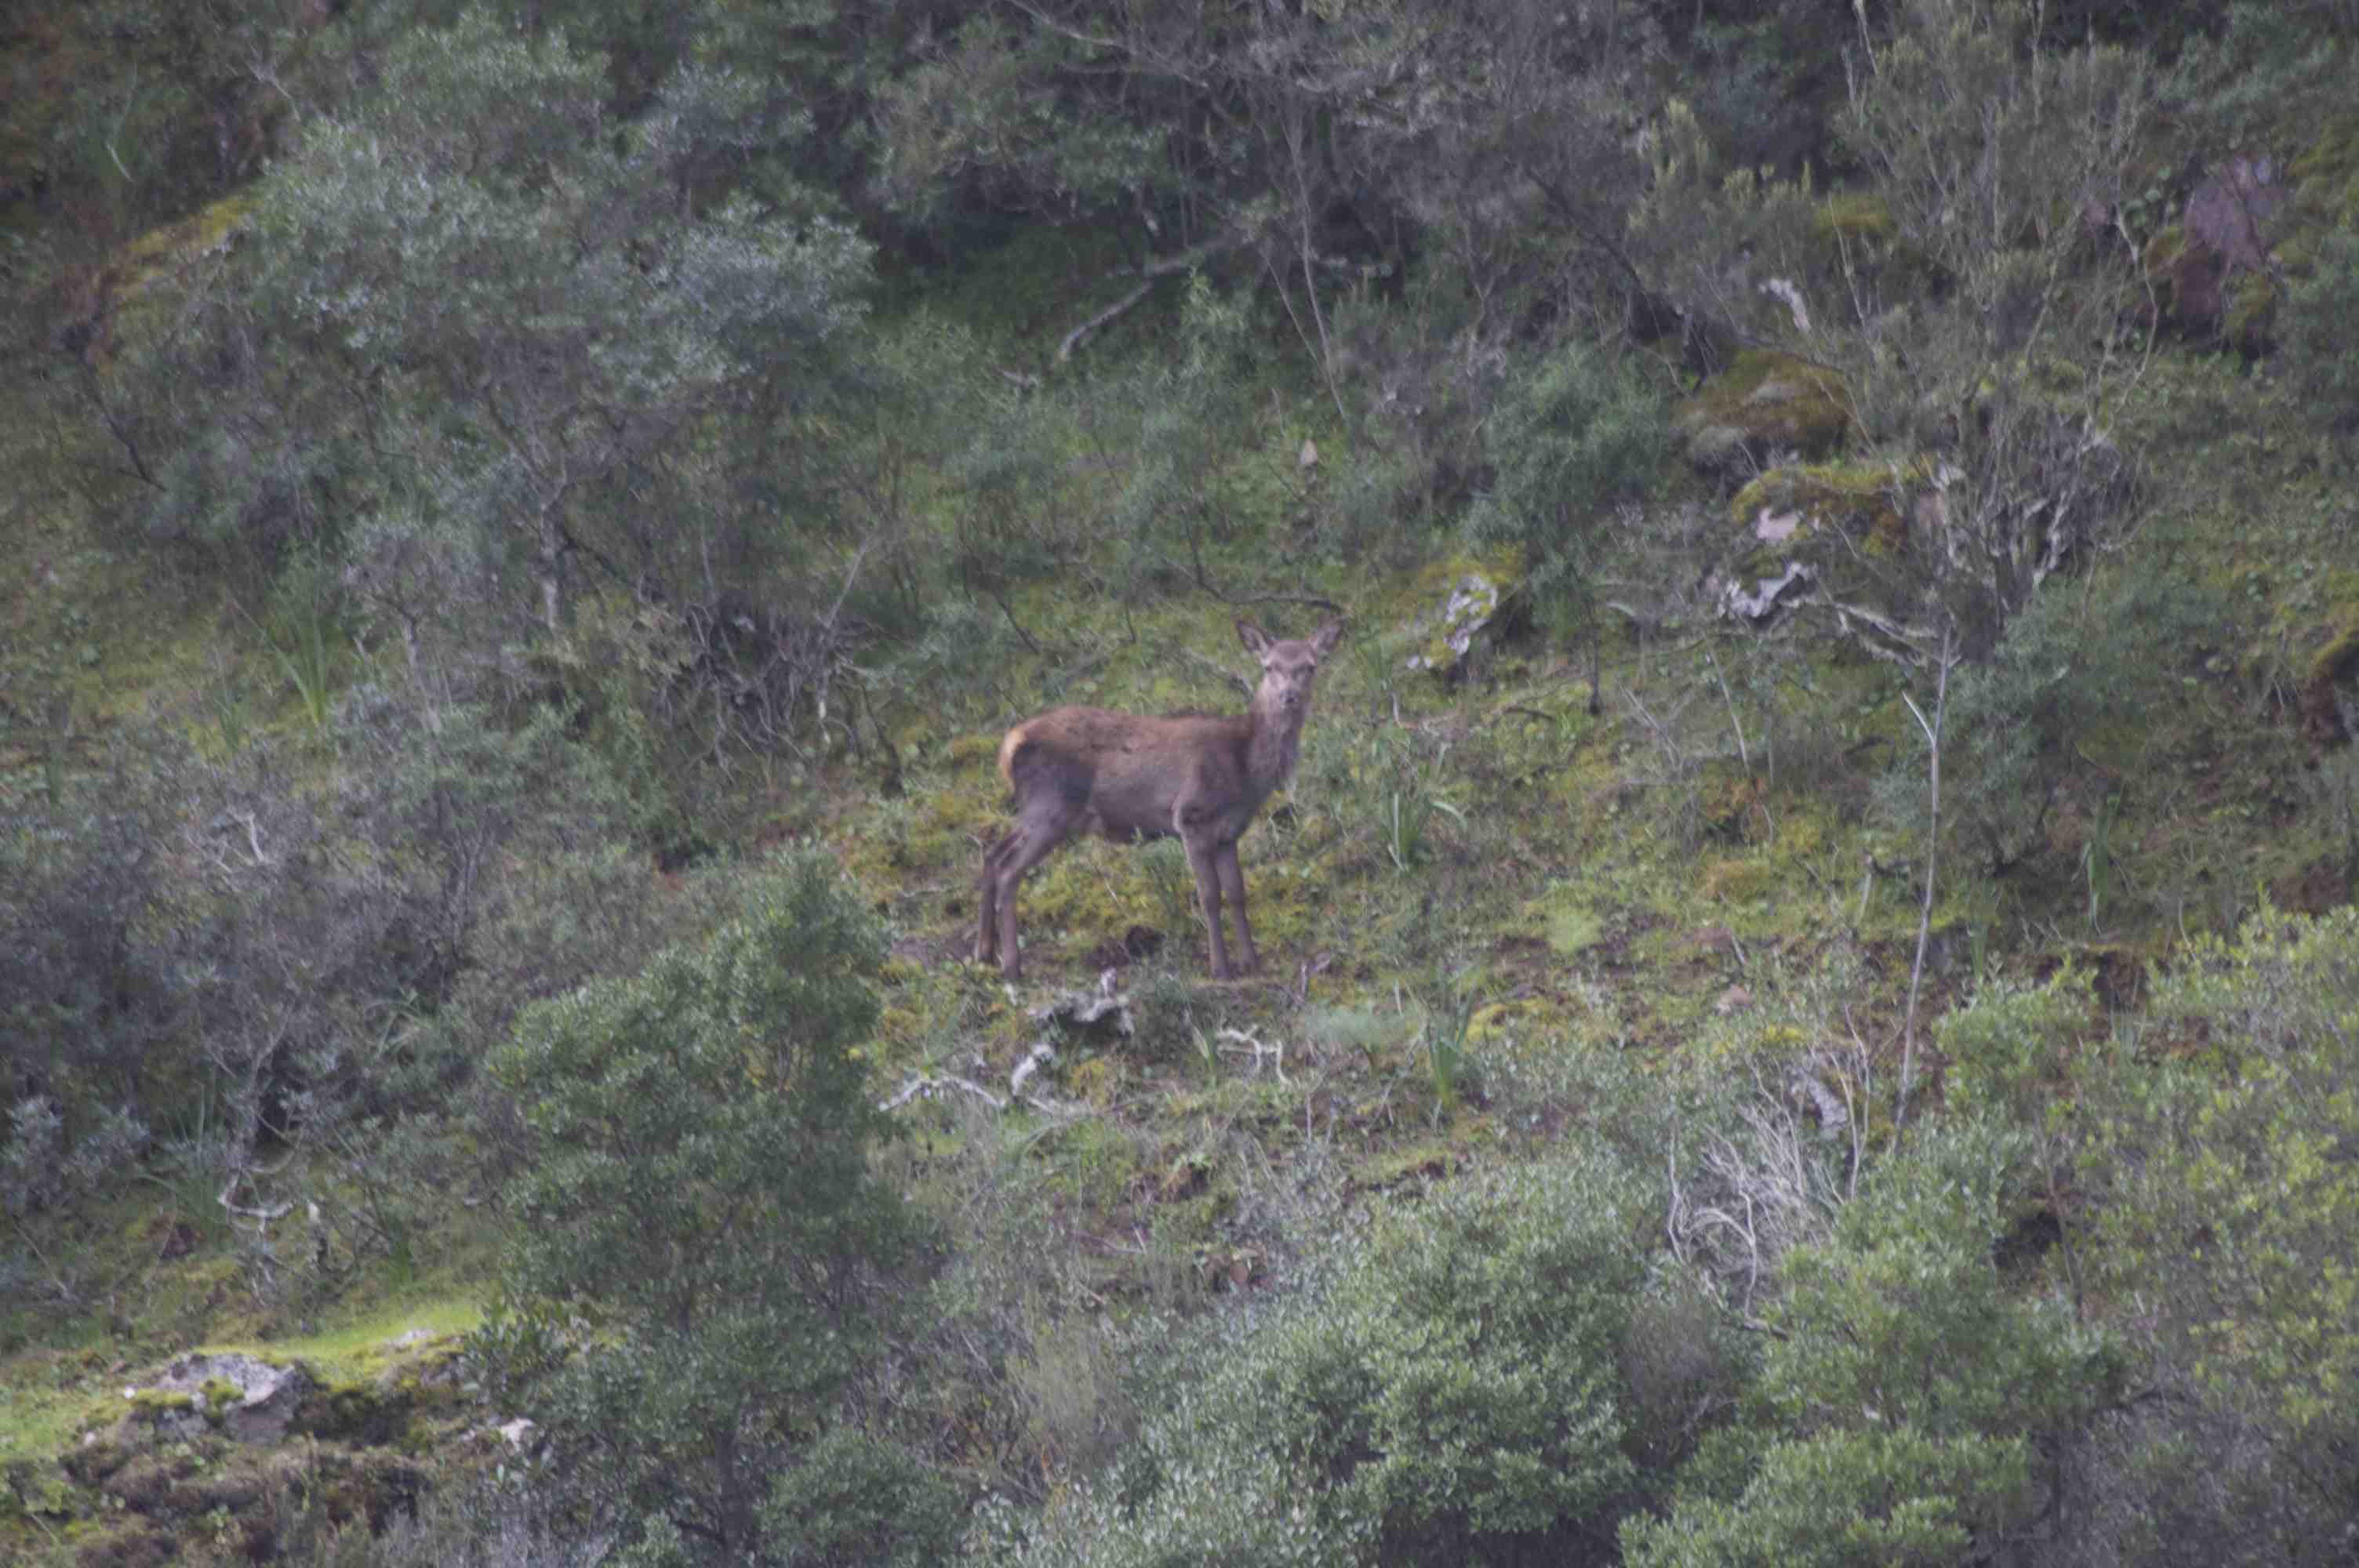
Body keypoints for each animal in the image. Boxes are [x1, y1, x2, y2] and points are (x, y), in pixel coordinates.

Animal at [976, 622, 1349, 981]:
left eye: (1310, 666)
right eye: (1269, 666)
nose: (1289, 697)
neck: (1245, 768)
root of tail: (1010, 744)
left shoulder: (1228, 833)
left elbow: (1237, 893)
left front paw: (1251, 962)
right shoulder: (1191, 817)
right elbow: (1209, 896)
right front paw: (1220, 968)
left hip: (1038, 810)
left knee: (993, 854)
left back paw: (985, 953)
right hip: (1052, 807)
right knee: (1010, 870)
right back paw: (1012, 967)